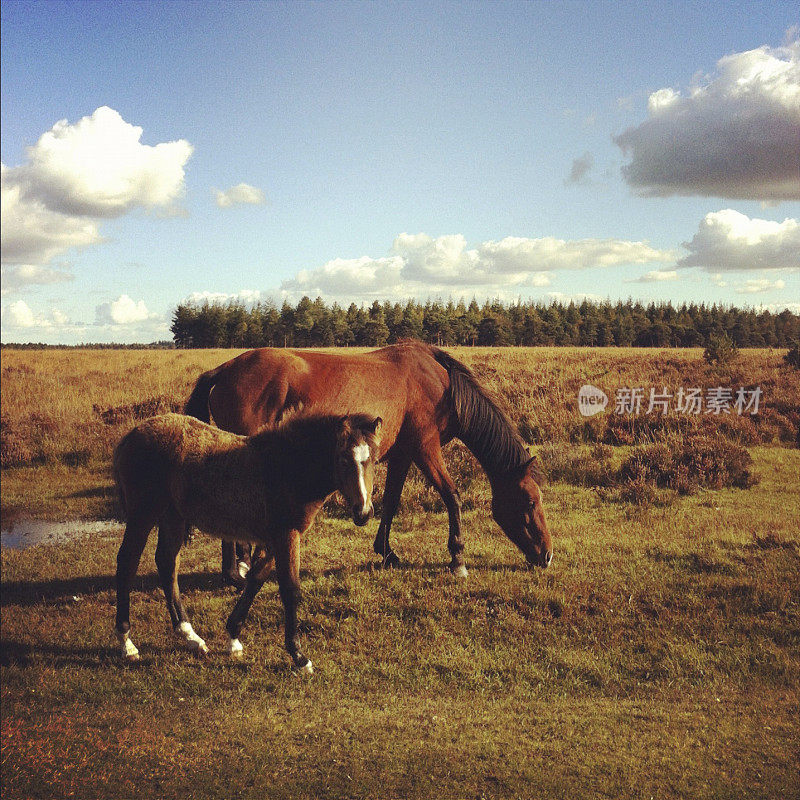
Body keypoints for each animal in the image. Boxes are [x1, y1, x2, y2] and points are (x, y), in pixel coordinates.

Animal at [113, 410, 384, 672]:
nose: (363, 512)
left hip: (173, 515)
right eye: (343, 459)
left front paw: (233, 637)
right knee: (127, 562)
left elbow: (256, 580)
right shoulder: (287, 535)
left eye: (373, 459)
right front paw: (299, 656)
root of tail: (131, 435)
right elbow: (290, 589)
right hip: (143, 514)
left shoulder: (273, 539)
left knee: (167, 562)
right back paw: (127, 643)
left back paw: (190, 635)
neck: (288, 468)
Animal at [185, 340, 552, 576]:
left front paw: (387, 552)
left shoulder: (404, 453)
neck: (441, 383)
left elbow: (390, 502)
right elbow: (452, 496)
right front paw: (457, 558)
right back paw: (239, 569)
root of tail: (225, 369)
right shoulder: (426, 447)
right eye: (530, 502)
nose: (547, 555)